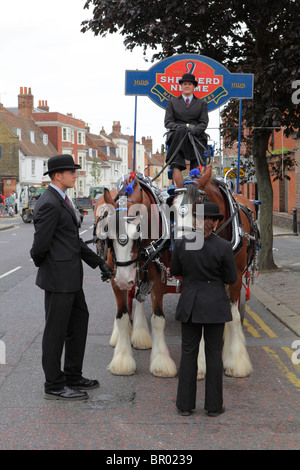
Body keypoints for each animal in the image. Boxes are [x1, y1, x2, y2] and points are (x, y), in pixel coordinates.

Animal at [94, 176, 177, 378]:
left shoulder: (158, 279)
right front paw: (122, 359)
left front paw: (161, 361)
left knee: (139, 295)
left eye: (139, 229)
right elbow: (122, 317)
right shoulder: (115, 278)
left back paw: (140, 333)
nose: (124, 280)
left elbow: (158, 319)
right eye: (107, 231)